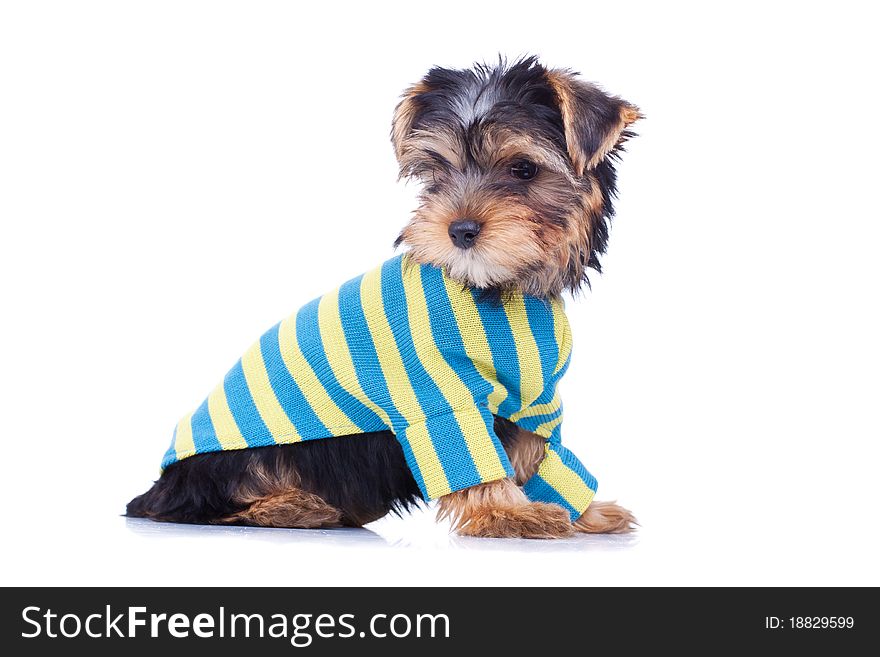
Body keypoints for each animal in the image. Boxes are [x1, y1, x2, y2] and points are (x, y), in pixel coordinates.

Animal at [127, 56, 640, 540]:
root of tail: (164, 479)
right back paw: (291, 506)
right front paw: (506, 512)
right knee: (207, 501)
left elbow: (538, 452)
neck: (500, 291)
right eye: (438, 171)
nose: (460, 229)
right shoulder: (437, 392)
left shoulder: (538, 399)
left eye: (524, 169)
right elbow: (466, 449)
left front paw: (585, 513)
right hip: (240, 462)